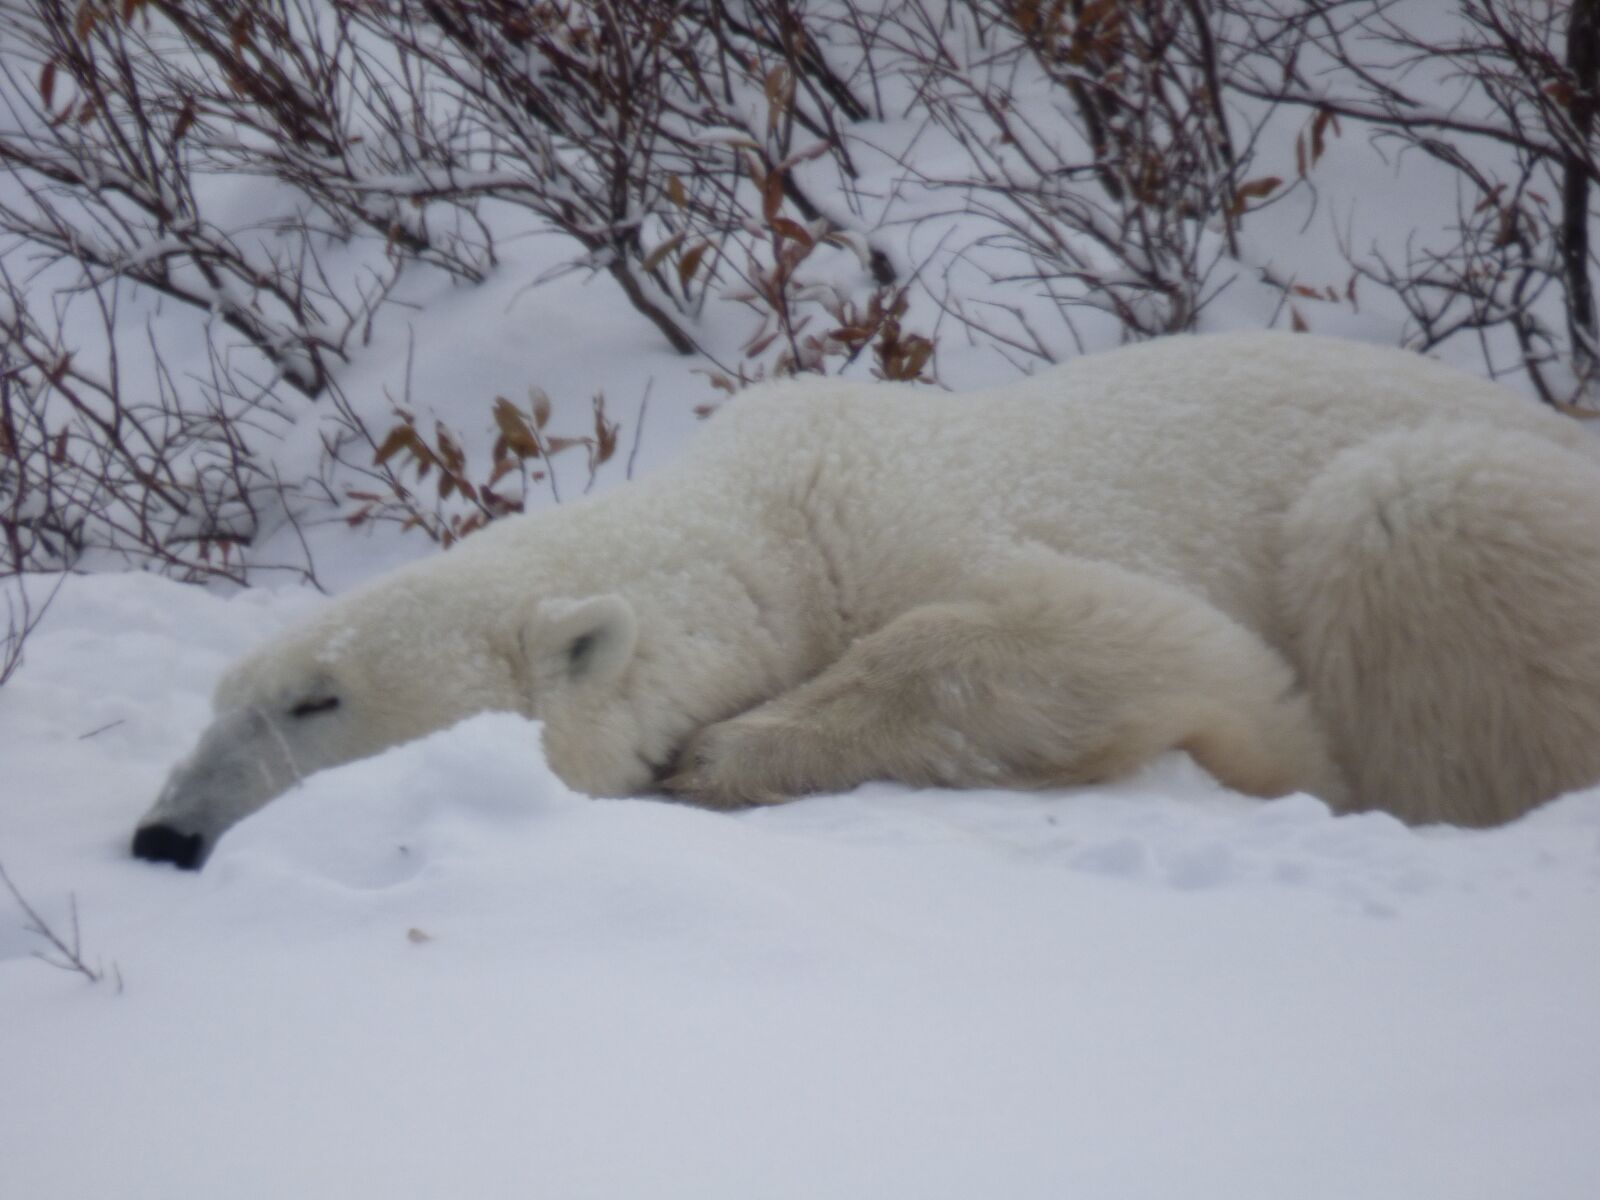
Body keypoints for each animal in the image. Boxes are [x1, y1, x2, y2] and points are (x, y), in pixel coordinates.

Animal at [131, 334, 1600, 870]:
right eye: (221, 700)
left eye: (317, 702)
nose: (163, 835)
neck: (775, 518)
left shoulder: (946, 522)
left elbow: (1143, 645)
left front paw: (719, 753)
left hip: (1466, 504)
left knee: (1407, 511)